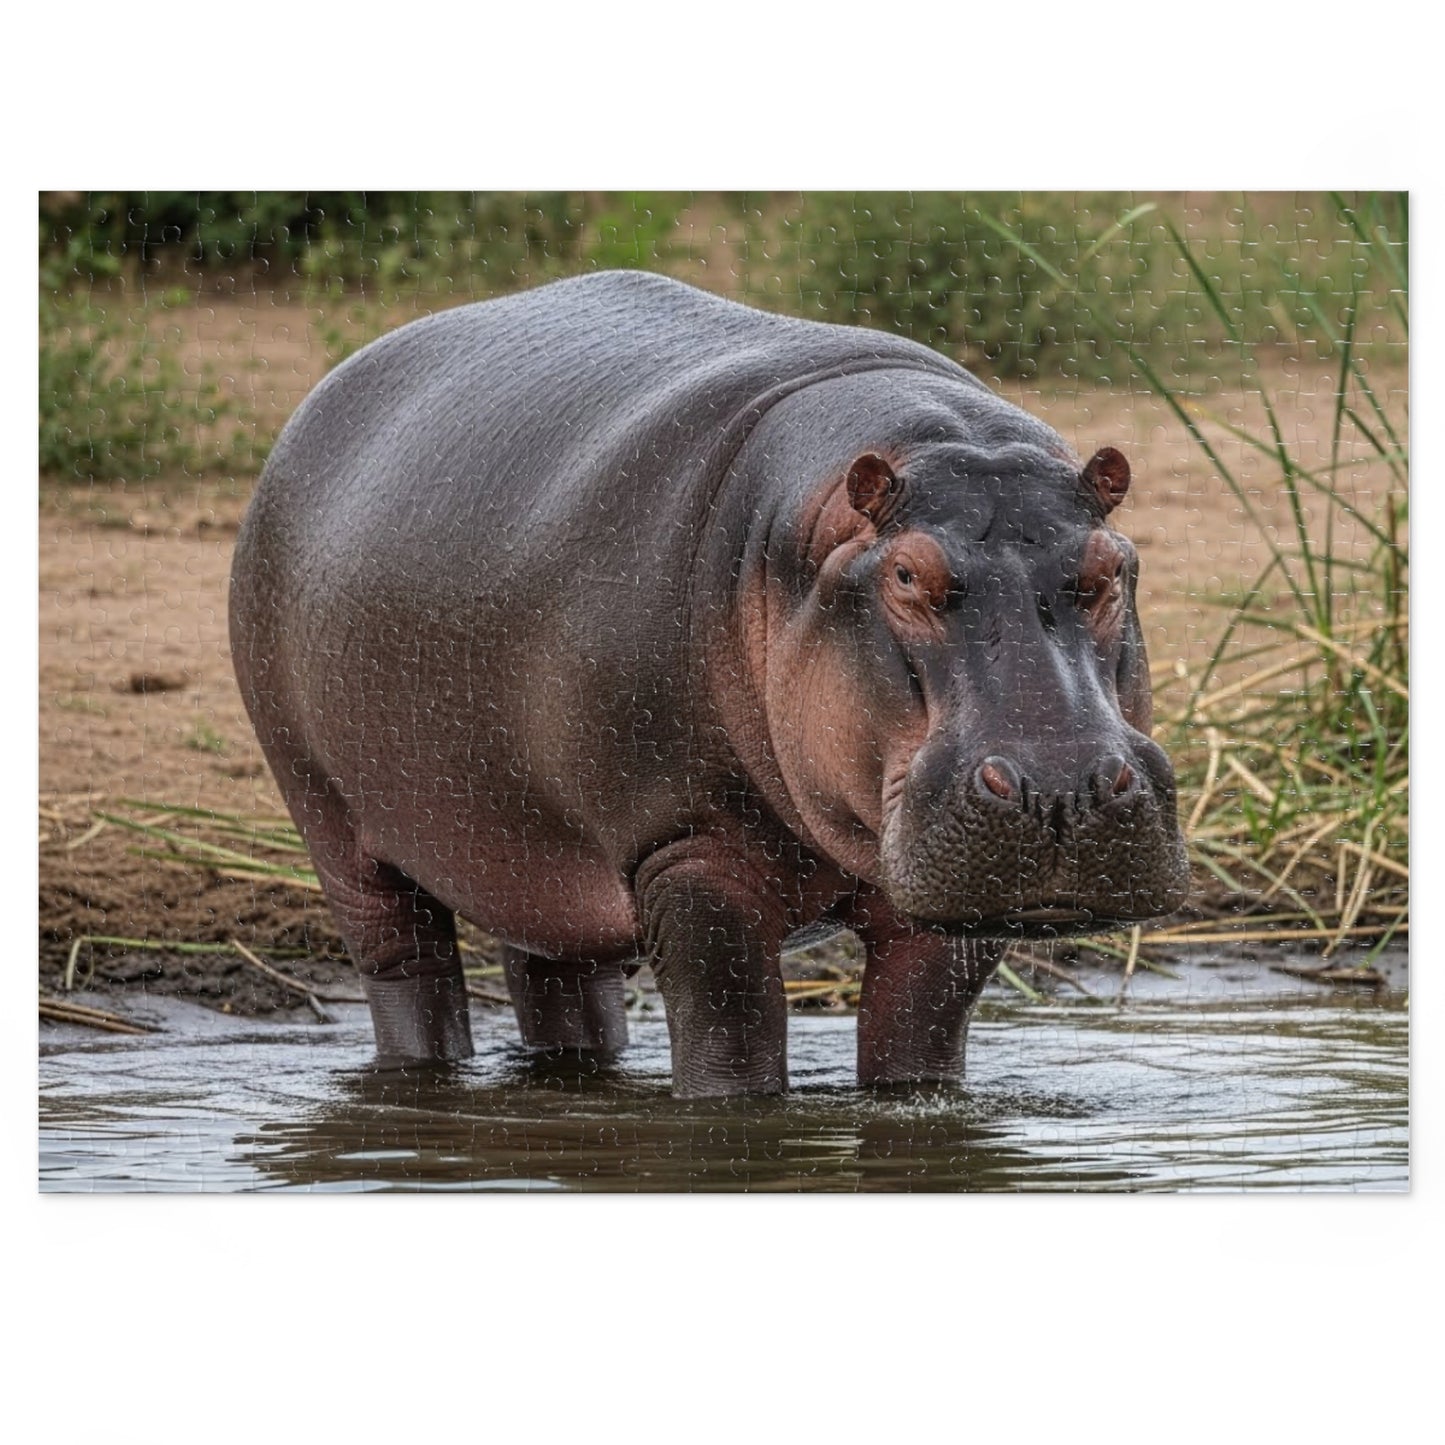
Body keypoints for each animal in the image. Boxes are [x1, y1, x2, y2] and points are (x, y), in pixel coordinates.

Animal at [230, 270, 1188, 1097]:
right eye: (907, 575)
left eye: (1110, 566)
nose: (1060, 786)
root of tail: (326, 394)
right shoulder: (682, 845)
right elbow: (732, 1031)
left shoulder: (945, 899)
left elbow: (919, 1035)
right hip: (329, 817)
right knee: (407, 967)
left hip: (532, 847)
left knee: (558, 976)